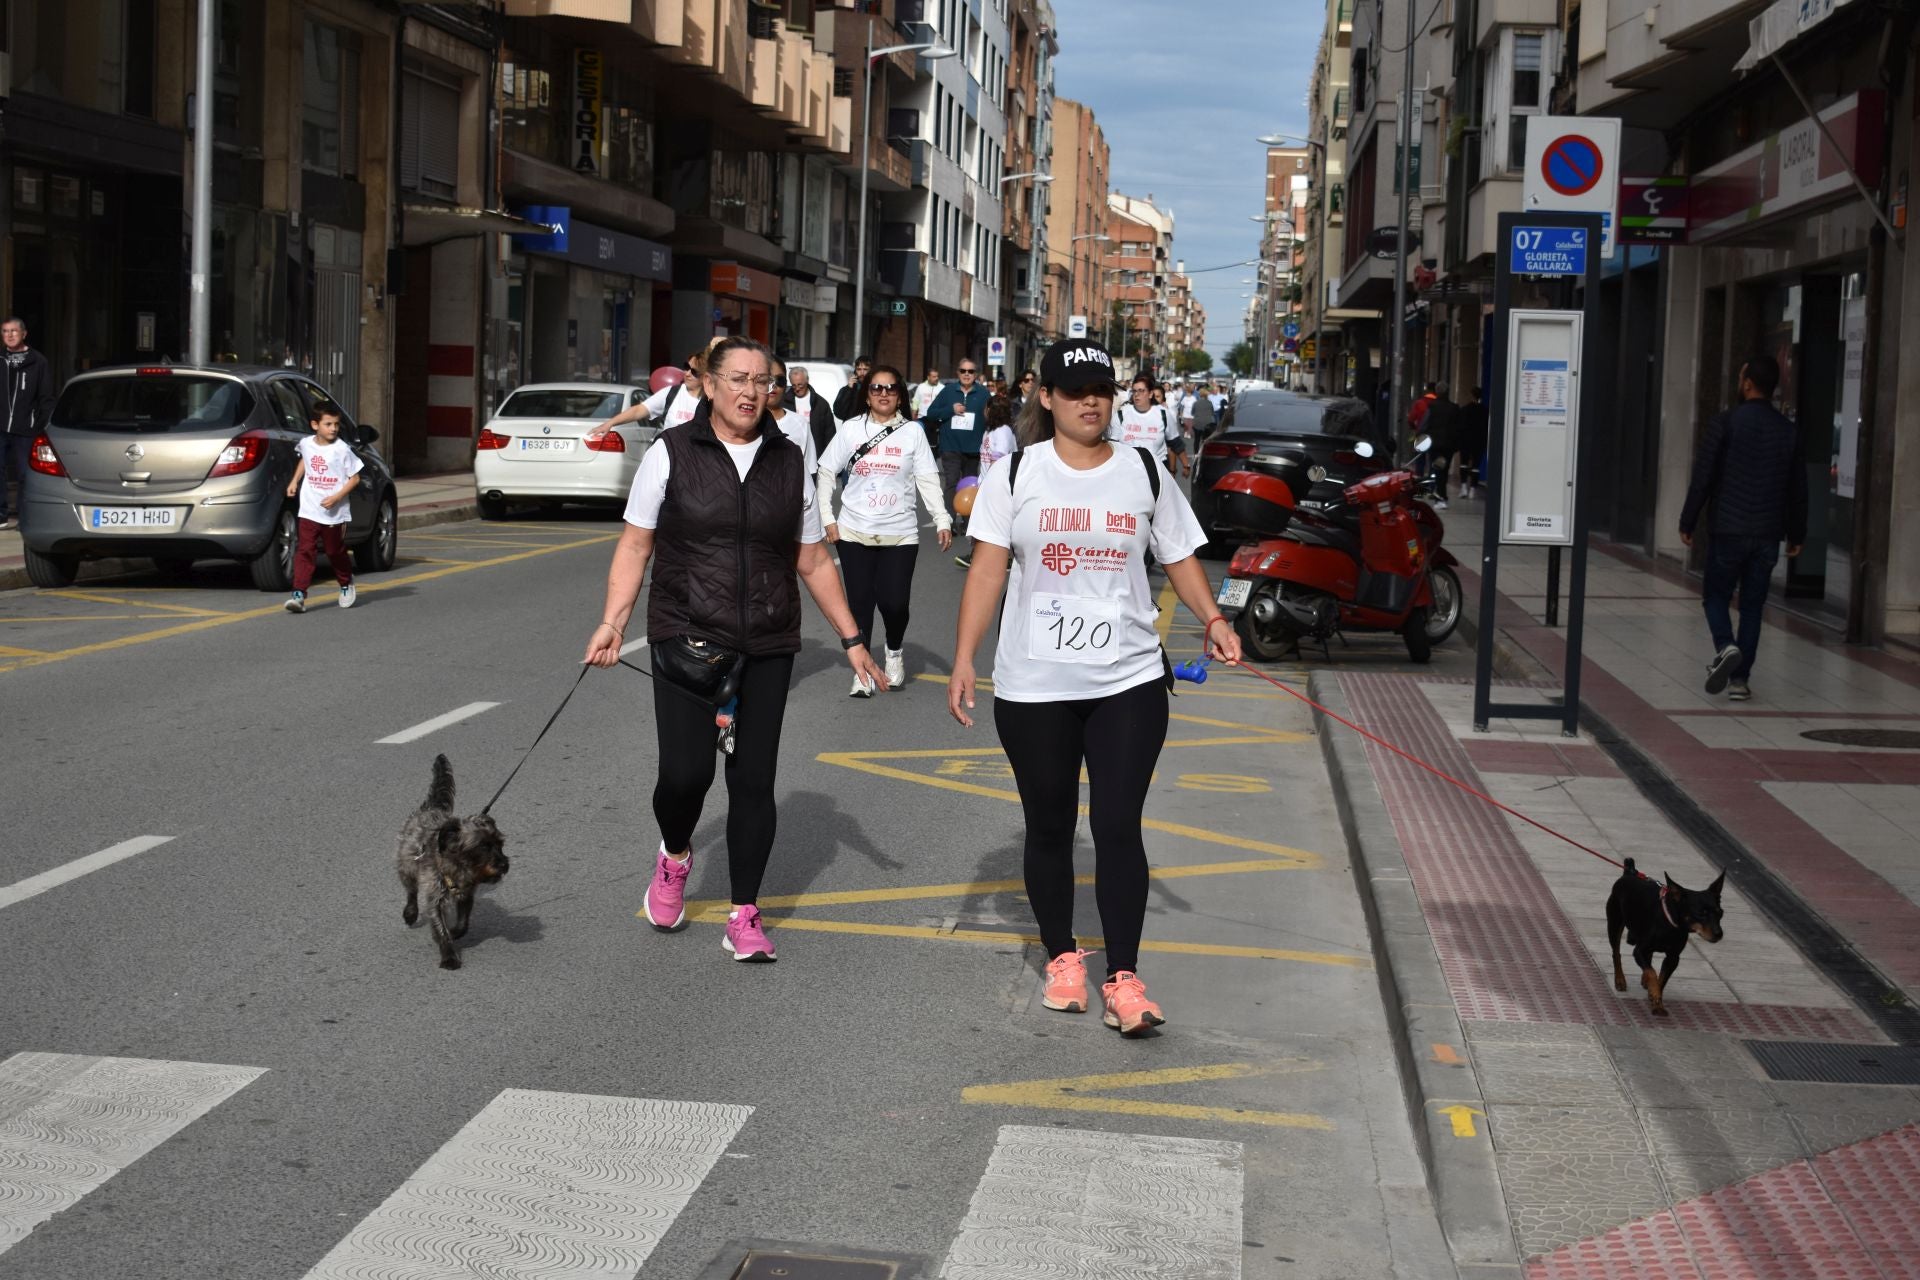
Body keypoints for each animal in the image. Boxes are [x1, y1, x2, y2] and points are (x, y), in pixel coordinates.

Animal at [397, 752, 510, 971]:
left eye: (499, 844)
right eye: (483, 846)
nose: (503, 865)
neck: (459, 867)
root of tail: (430, 807)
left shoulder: (467, 894)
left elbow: (463, 923)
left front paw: (455, 932)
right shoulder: (434, 897)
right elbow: (440, 928)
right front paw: (449, 957)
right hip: (406, 865)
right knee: (411, 891)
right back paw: (410, 913)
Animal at [1605, 859, 1728, 1020]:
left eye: (1720, 913)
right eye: (1701, 914)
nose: (1719, 934)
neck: (1670, 925)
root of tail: (1629, 872)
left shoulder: (1673, 958)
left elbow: (1661, 980)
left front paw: (1657, 1001)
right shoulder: (1639, 951)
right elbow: (1652, 973)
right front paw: (1655, 995)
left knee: (1648, 959)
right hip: (1615, 923)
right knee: (1616, 953)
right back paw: (1620, 980)